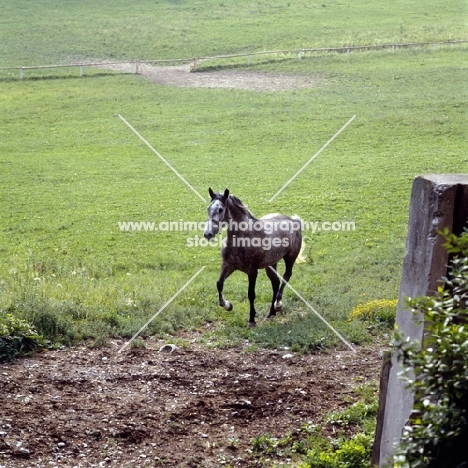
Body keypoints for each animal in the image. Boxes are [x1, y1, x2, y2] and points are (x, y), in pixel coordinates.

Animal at [203, 188, 302, 328]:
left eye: (221, 209)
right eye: (208, 208)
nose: (208, 234)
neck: (241, 239)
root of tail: (294, 220)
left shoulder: (252, 271)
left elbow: (251, 294)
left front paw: (251, 321)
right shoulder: (228, 265)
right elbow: (219, 284)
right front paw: (228, 305)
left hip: (290, 258)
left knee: (286, 277)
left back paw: (278, 305)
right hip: (271, 264)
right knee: (275, 283)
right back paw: (270, 313)